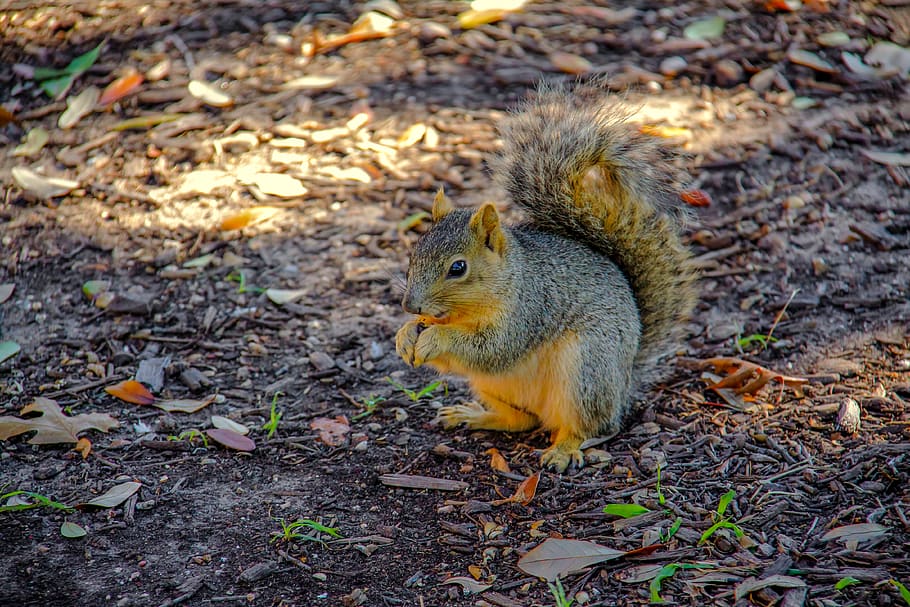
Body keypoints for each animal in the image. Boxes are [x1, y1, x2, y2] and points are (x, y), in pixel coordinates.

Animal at [395, 83, 697, 472]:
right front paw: (405, 336)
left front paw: (434, 338)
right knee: (524, 420)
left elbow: (492, 348)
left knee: (590, 427)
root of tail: (625, 382)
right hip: (494, 388)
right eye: (413, 255)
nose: (410, 305)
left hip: (586, 369)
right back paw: (474, 415)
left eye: (457, 268)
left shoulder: (530, 310)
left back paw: (564, 449)